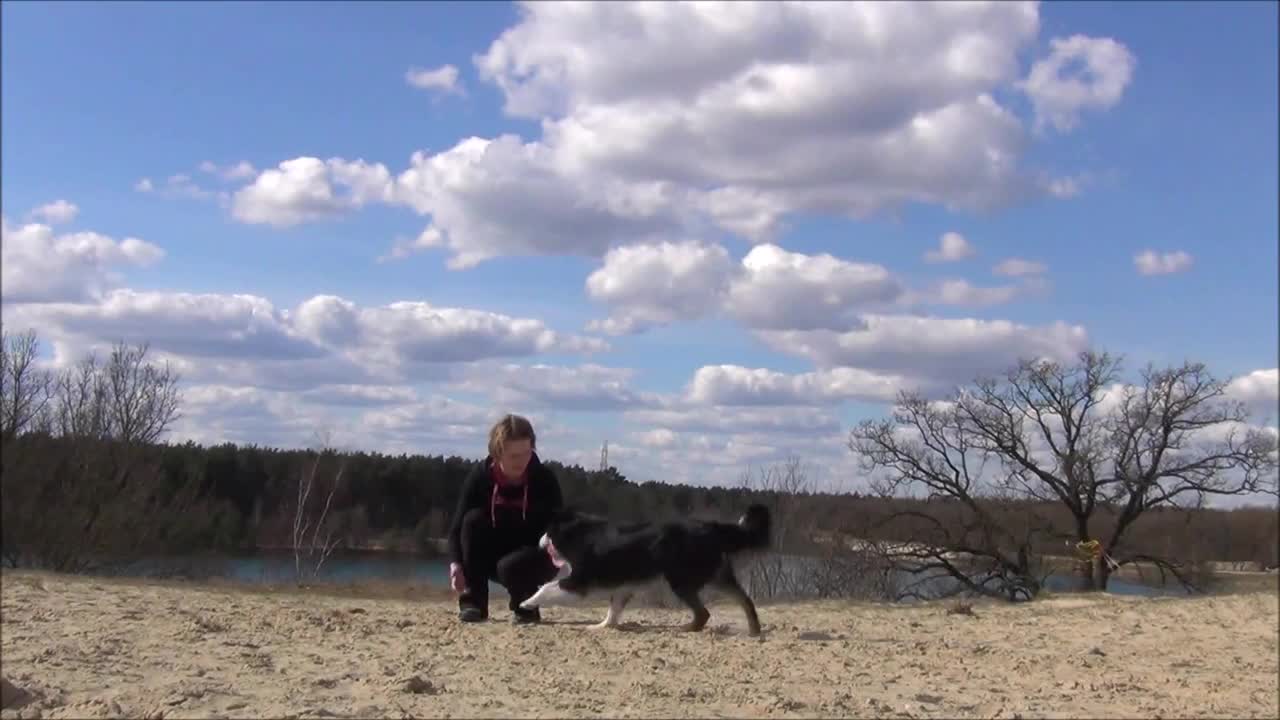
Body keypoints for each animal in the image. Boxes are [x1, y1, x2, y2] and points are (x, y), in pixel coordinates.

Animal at [517, 499, 768, 632]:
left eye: (546, 531)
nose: (539, 542)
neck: (577, 532)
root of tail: (711, 527)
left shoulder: (579, 581)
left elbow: (547, 587)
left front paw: (527, 602)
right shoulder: (623, 586)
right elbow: (613, 609)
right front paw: (602, 626)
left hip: (680, 580)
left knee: (703, 613)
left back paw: (686, 629)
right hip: (718, 575)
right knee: (745, 600)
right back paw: (754, 631)